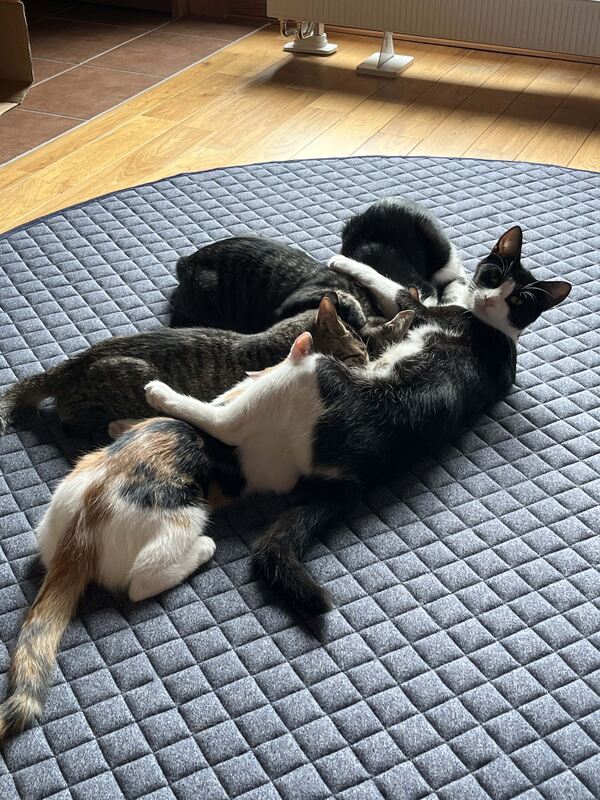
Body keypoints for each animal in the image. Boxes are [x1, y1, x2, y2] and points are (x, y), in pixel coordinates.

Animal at [144, 226, 571, 614]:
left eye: (517, 299)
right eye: (494, 276)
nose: (488, 298)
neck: (495, 328)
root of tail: (354, 478)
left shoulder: (418, 309)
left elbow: (392, 287)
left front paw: (343, 262)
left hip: (317, 372)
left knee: (227, 423)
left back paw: (163, 394)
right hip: (275, 453)